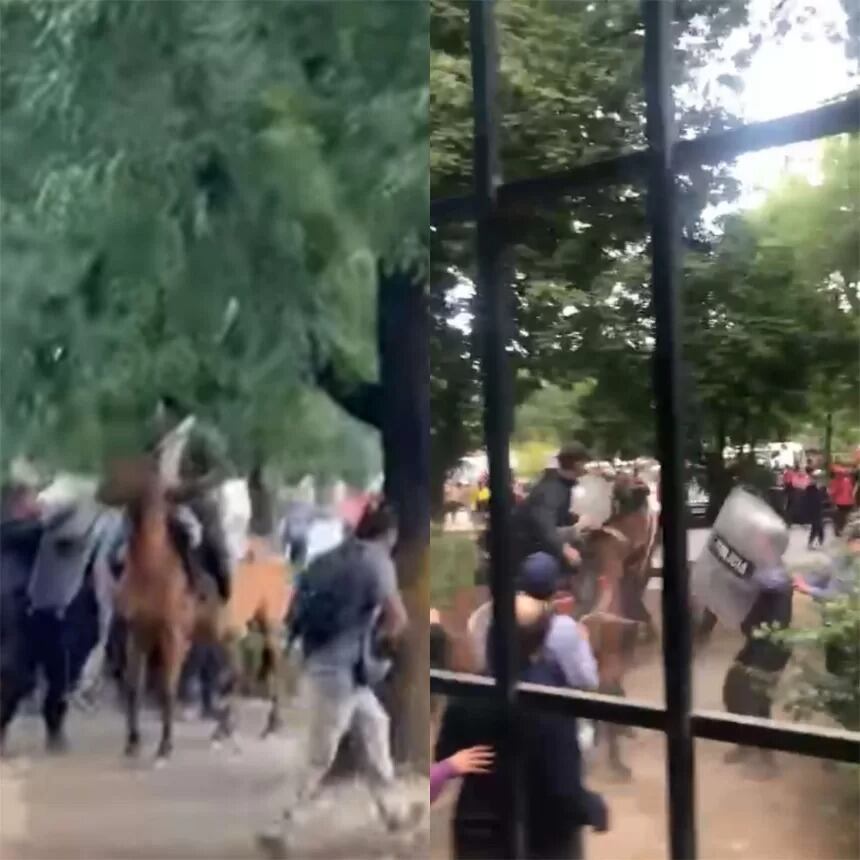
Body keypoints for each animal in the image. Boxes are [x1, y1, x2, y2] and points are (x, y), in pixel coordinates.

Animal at [99, 456, 290, 760]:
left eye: (132, 474)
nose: (101, 491)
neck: (155, 567)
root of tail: (275, 552)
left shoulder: (173, 637)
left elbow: (167, 689)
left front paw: (164, 747)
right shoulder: (137, 633)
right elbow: (133, 687)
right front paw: (133, 742)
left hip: (269, 624)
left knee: (274, 665)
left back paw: (272, 725)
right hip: (229, 635)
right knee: (235, 674)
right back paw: (224, 729)